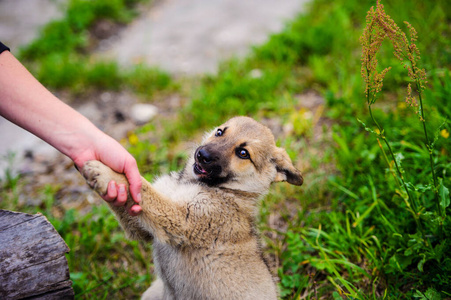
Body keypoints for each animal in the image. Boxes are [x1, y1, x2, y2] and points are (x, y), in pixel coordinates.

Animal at [83, 116, 306, 300]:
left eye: (243, 153)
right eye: (220, 132)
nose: (202, 155)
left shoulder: (179, 218)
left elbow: (144, 190)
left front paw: (103, 171)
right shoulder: (143, 226)